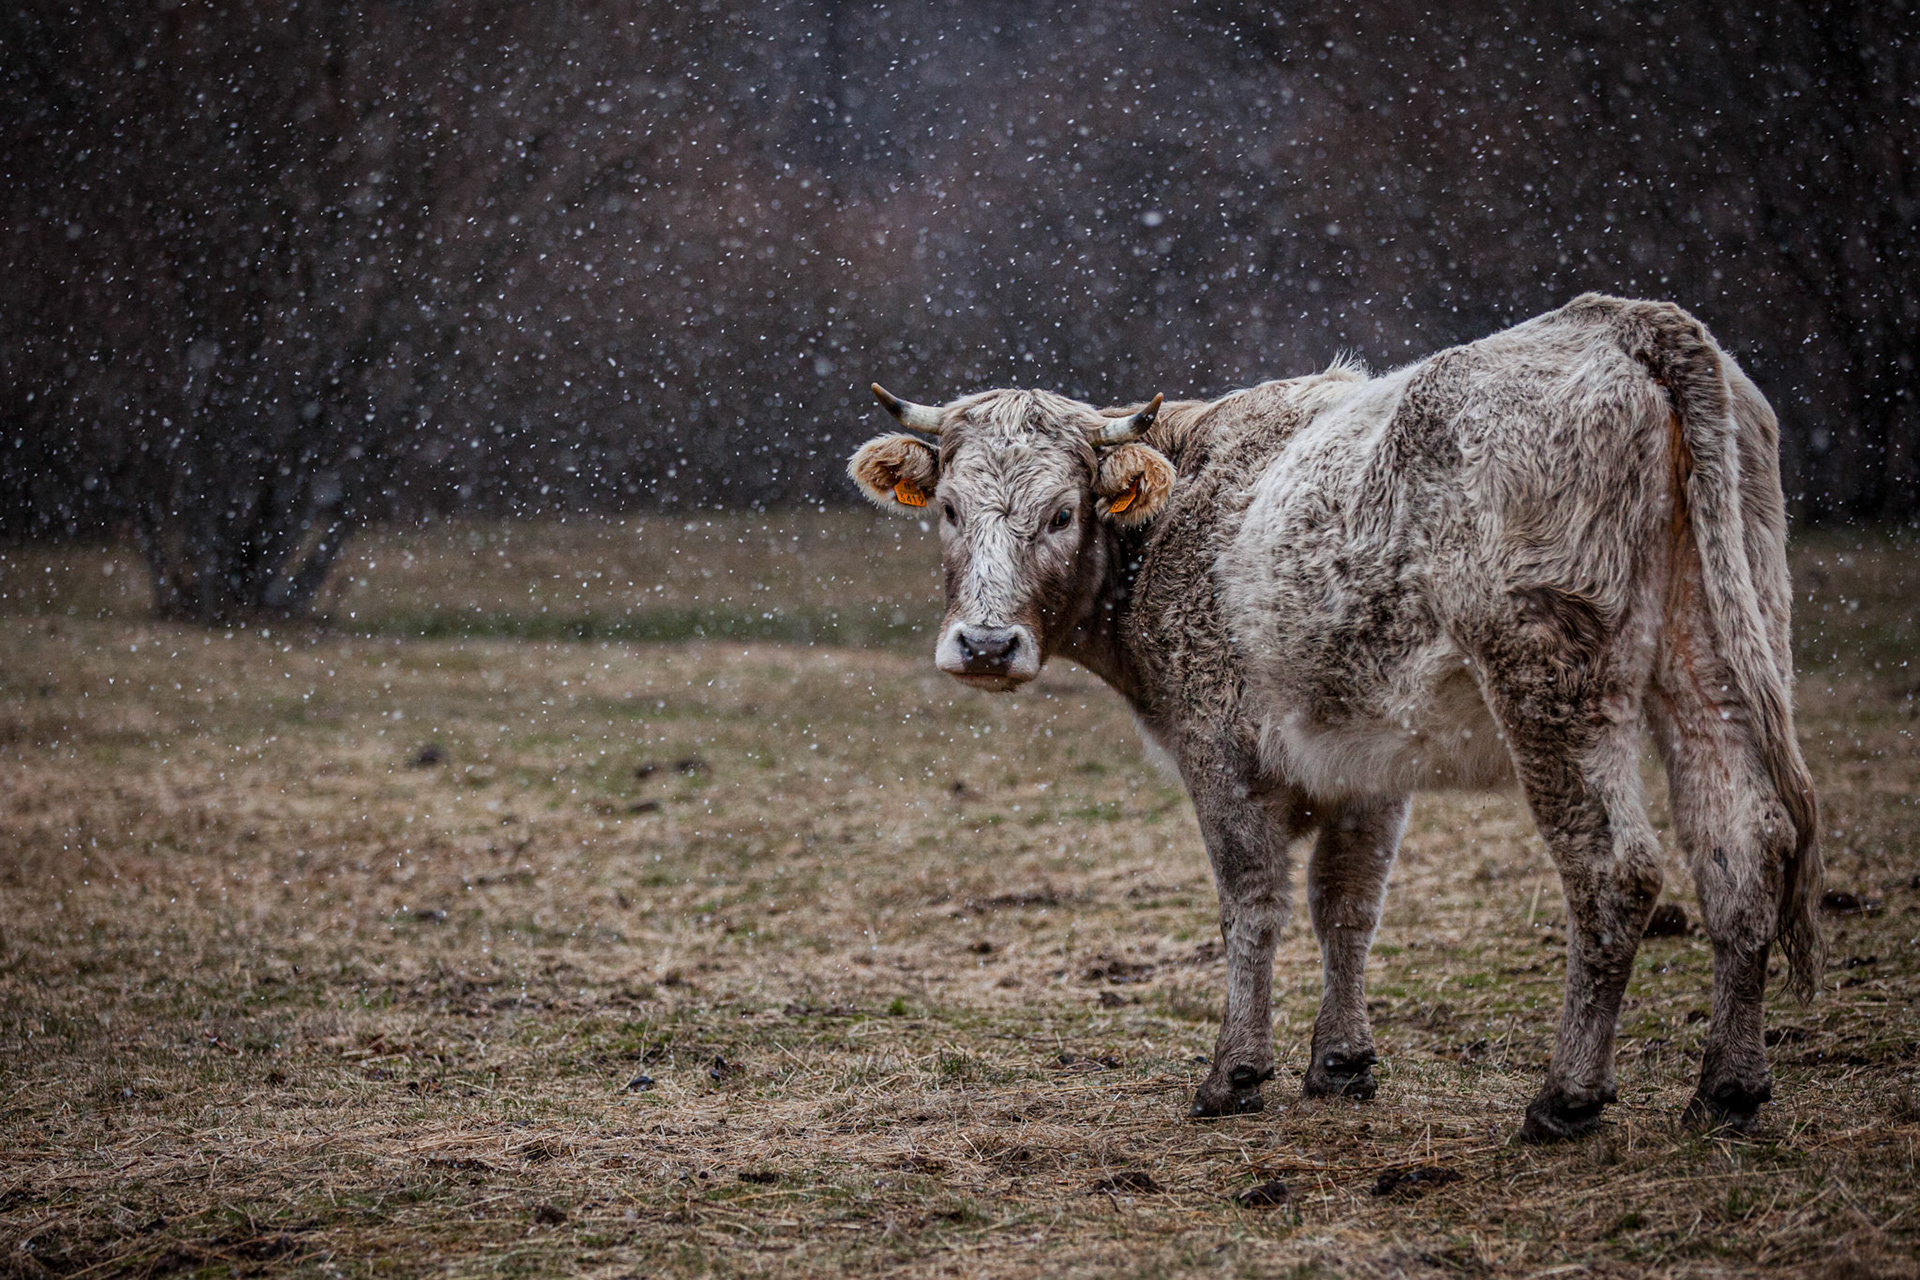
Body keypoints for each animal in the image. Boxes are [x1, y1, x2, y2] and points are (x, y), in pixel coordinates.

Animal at [847, 295, 1820, 1140]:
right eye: (948, 508)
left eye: (1061, 513)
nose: (984, 643)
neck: (1180, 511)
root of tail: (1619, 322)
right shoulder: (1369, 762)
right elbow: (1345, 906)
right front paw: (1341, 1063)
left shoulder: (1220, 753)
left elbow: (1254, 904)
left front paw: (1234, 1072)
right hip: (1715, 664)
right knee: (1742, 848)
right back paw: (1728, 1090)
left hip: (1554, 682)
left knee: (1615, 870)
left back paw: (1566, 1098)